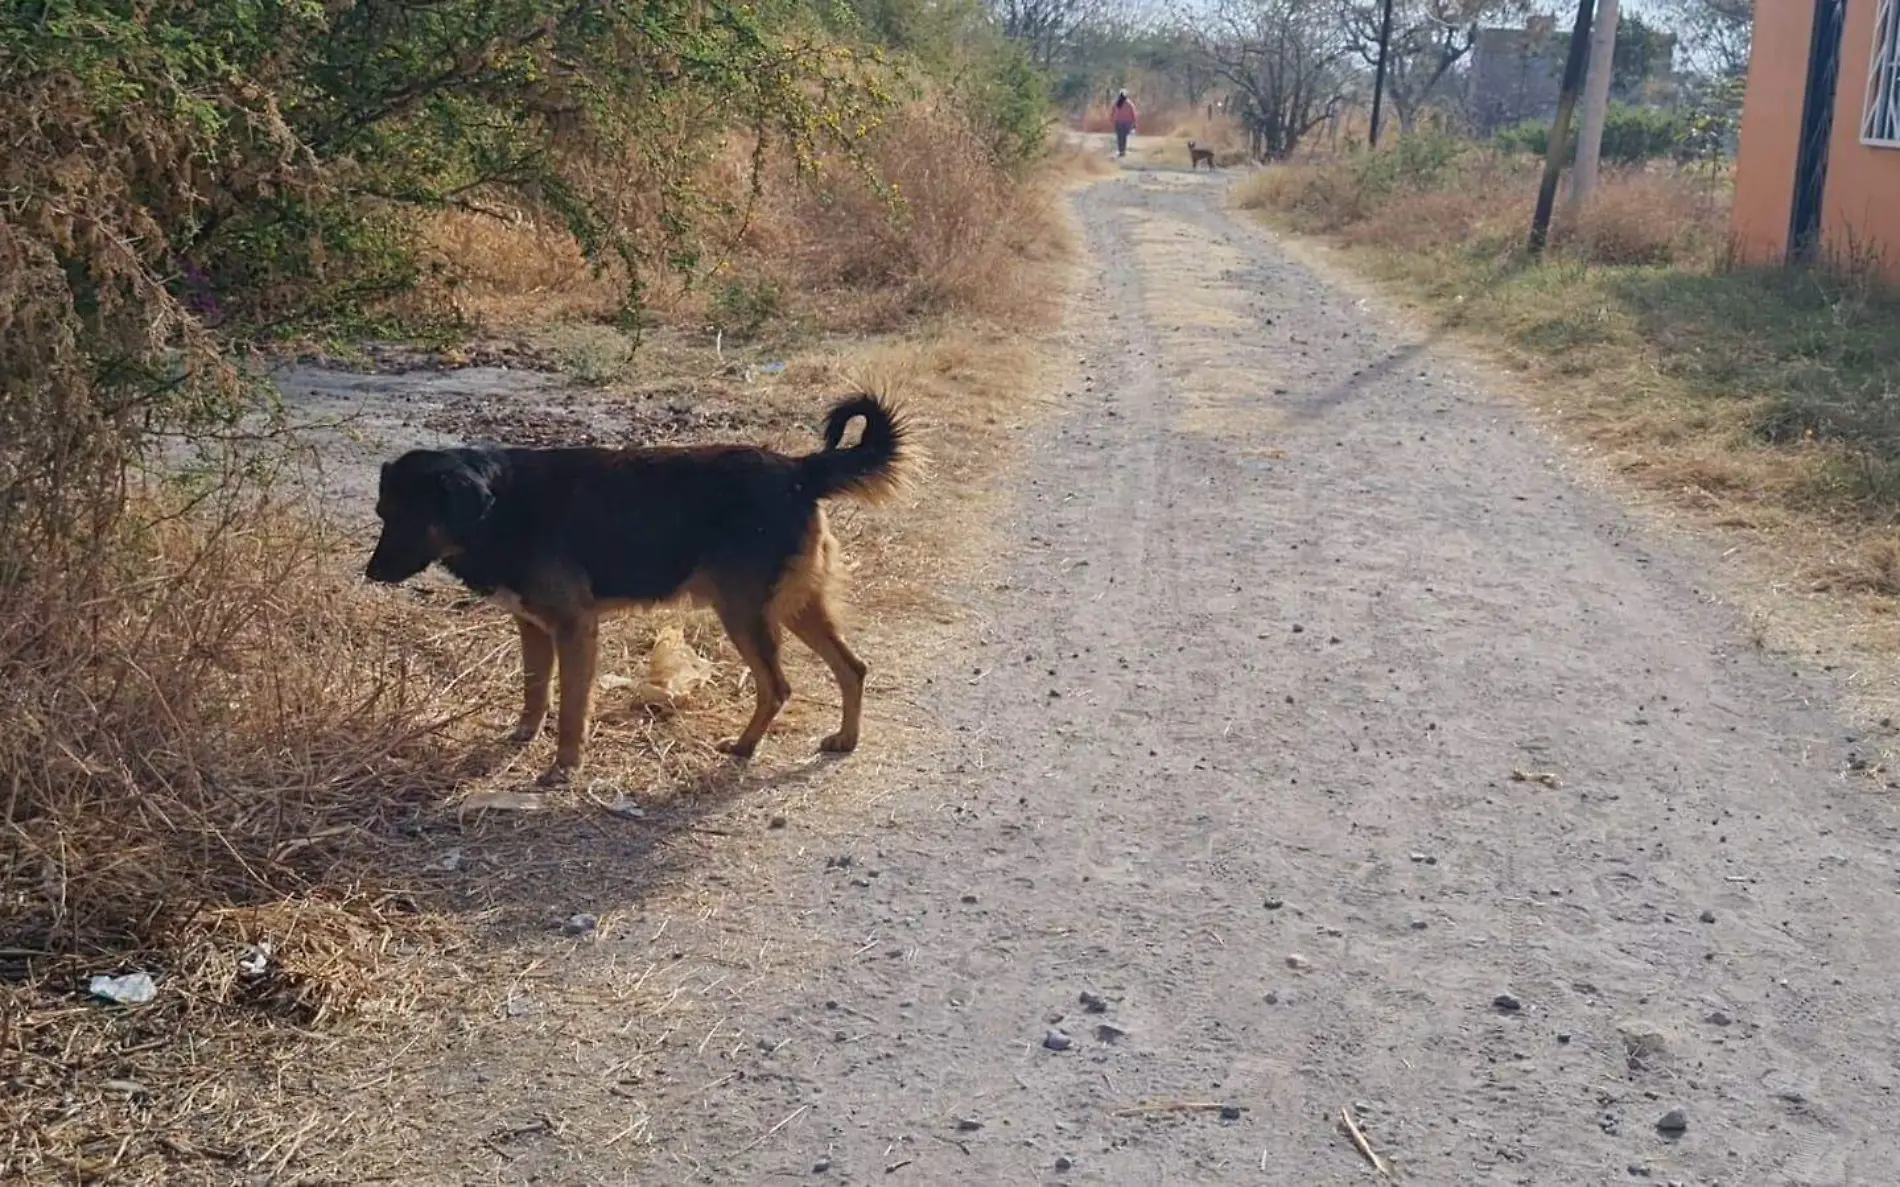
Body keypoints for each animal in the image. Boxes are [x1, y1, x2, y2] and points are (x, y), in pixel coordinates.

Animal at [368, 393, 912, 782]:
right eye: (381, 514)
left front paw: (564, 766)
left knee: (777, 687)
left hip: (743, 613)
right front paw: (524, 735)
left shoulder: (575, 628)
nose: (370, 574)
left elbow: (572, 705)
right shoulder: (532, 626)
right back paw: (845, 738)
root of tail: (799, 469)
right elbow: (535, 690)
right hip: (792, 605)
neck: (501, 504)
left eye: (411, 517)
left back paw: (744, 747)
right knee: (853, 667)